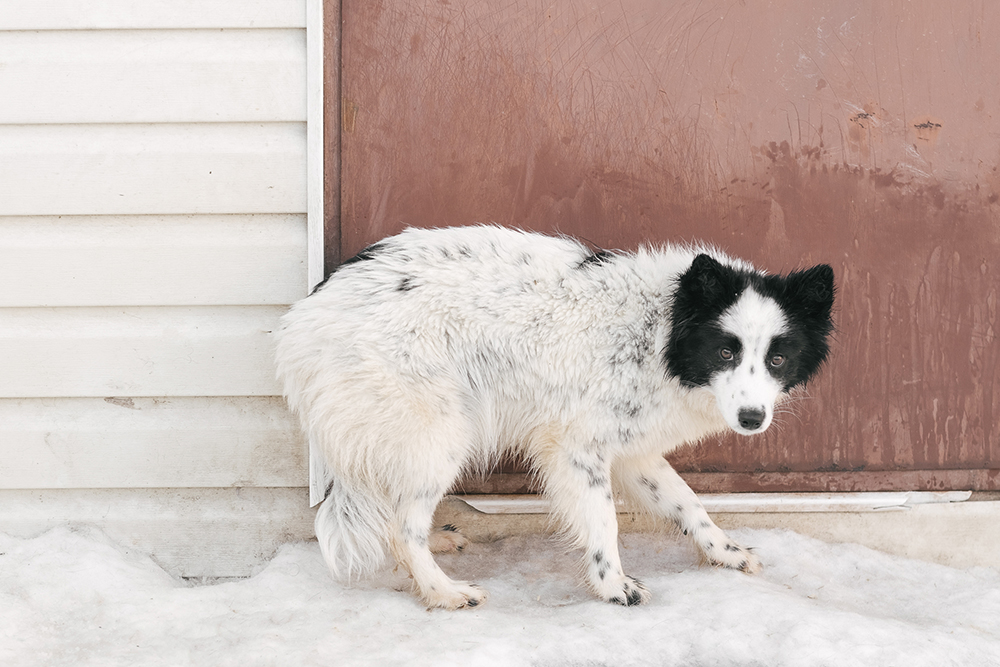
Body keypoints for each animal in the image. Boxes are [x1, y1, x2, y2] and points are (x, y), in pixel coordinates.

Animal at [276, 226, 836, 612]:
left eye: (778, 359)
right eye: (725, 351)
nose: (752, 418)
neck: (659, 332)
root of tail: (304, 316)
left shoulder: (632, 453)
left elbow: (689, 504)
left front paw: (725, 553)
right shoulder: (576, 450)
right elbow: (604, 521)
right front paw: (614, 587)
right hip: (442, 436)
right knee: (401, 526)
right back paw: (443, 591)